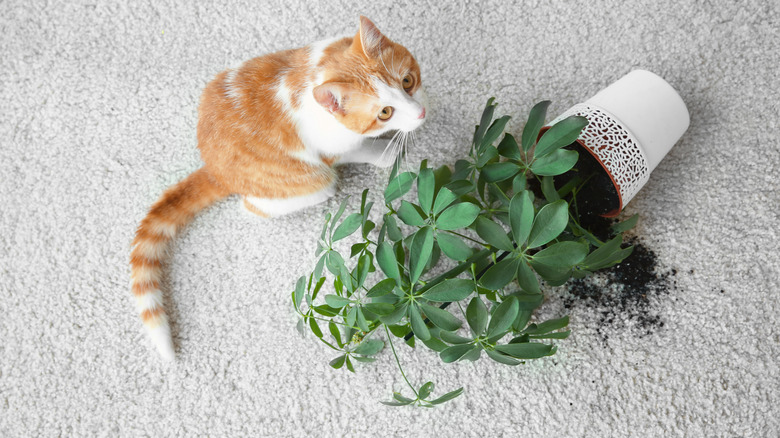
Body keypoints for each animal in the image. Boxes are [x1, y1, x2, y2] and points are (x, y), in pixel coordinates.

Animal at [133, 16, 426, 360]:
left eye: (407, 81)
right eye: (384, 113)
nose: (420, 113)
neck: (321, 69)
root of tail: (215, 169)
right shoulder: (331, 148)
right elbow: (358, 149)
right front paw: (384, 151)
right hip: (311, 183)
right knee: (255, 206)